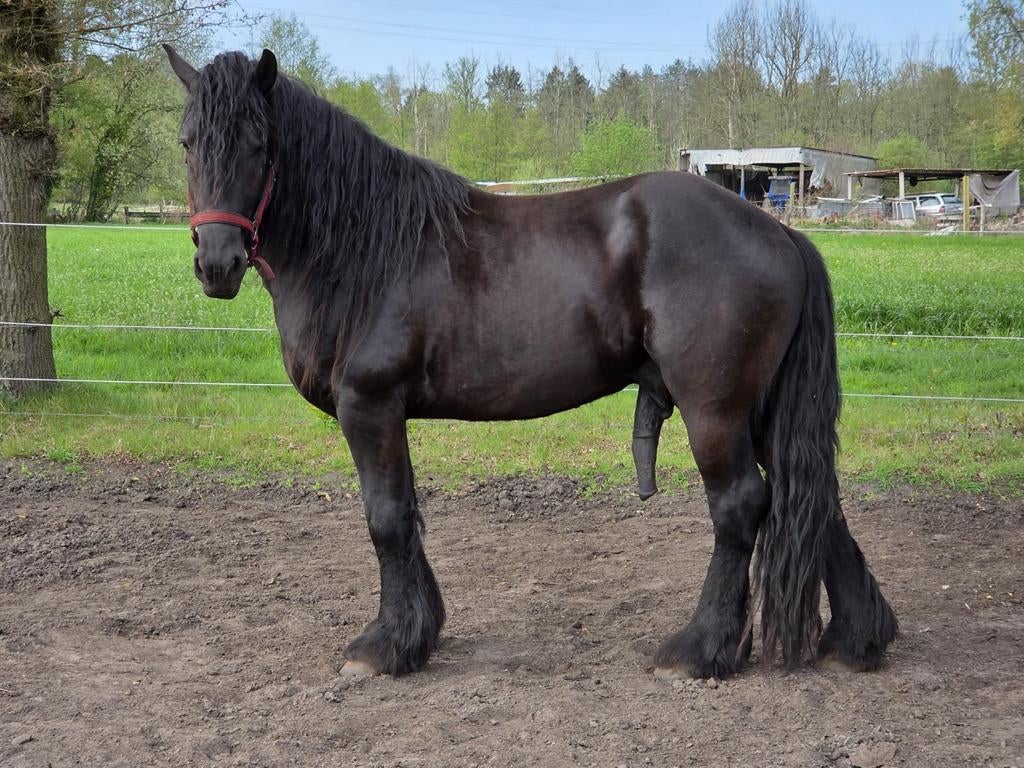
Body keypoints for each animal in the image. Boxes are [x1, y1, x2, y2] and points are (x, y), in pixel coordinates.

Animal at [163, 46, 898, 681]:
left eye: (260, 144)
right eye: (188, 141)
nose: (217, 262)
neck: (363, 248)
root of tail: (781, 231)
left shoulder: (368, 406)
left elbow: (387, 518)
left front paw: (387, 645)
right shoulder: (389, 414)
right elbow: (407, 514)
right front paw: (420, 633)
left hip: (714, 409)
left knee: (743, 506)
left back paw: (703, 647)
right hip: (762, 408)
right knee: (816, 500)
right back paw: (858, 635)